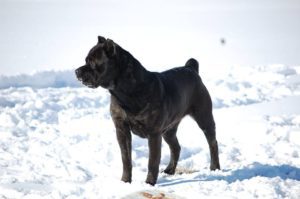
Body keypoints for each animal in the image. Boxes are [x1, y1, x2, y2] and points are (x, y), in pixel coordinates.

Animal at [75, 35, 220, 185]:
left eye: (92, 62)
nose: (77, 71)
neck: (124, 93)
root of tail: (191, 68)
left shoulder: (154, 133)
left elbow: (152, 161)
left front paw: (149, 183)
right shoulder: (122, 129)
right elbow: (126, 158)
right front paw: (125, 181)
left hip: (204, 118)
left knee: (213, 143)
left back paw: (214, 167)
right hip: (169, 130)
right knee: (176, 147)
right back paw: (169, 170)